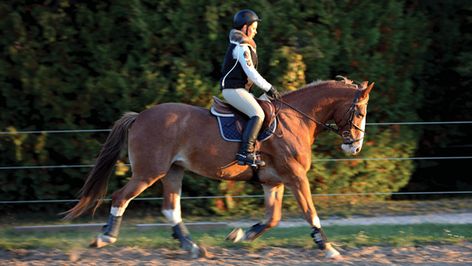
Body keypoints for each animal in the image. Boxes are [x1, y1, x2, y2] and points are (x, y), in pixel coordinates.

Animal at [62, 78, 374, 258]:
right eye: (360, 111)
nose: (354, 147)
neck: (295, 118)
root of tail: (140, 116)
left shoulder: (273, 181)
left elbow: (272, 218)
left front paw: (239, 236)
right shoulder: (296, 177)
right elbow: (310, 212)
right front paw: (328, 247)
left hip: (172, 171)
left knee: (170, 208)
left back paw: (192, 247)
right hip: (149, 172)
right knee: (121, 197)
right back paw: (105, 237)